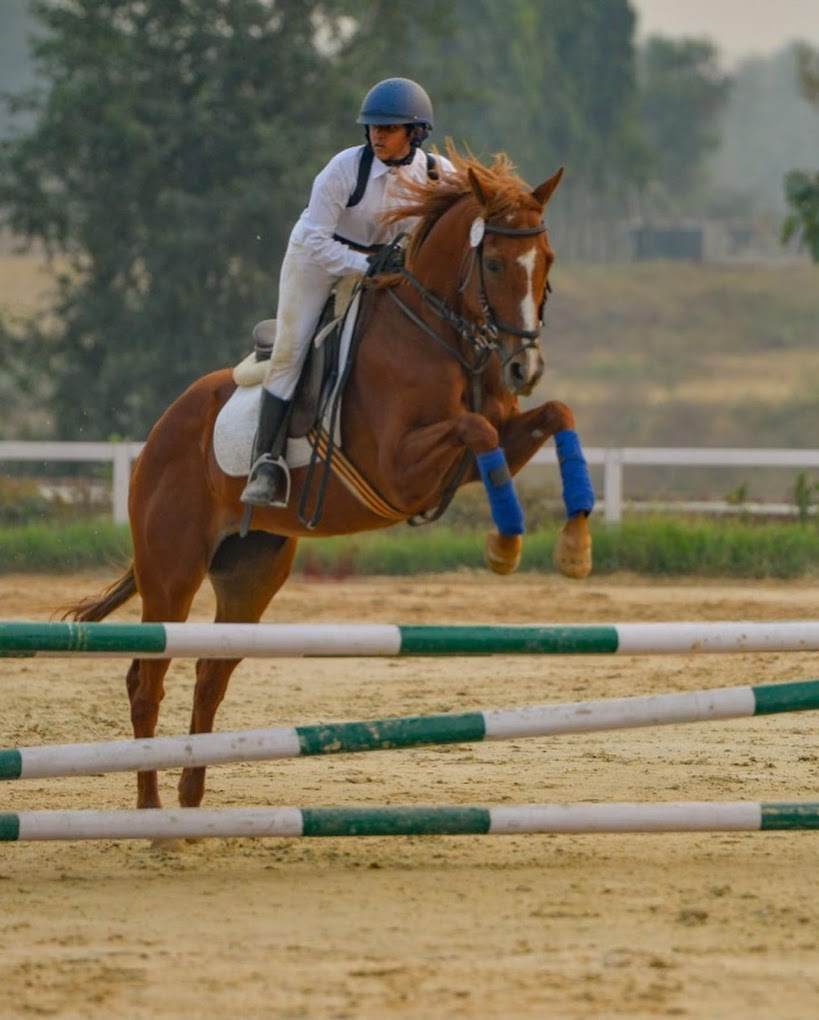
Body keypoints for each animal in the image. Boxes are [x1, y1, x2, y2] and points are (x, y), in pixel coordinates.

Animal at [63, 147, 593, 812]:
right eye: (493, 261)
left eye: (547, 258)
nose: (525, 367)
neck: (438, 334)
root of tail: (159, 432)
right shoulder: (399, 470)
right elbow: (479, 430)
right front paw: (505, 543)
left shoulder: (481, 449)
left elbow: (554, 416)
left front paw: (574, 546)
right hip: (173, 571)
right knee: (147, 678)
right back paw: (152, 809)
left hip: (250, 574)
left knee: (209, 675)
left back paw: (190, 797)